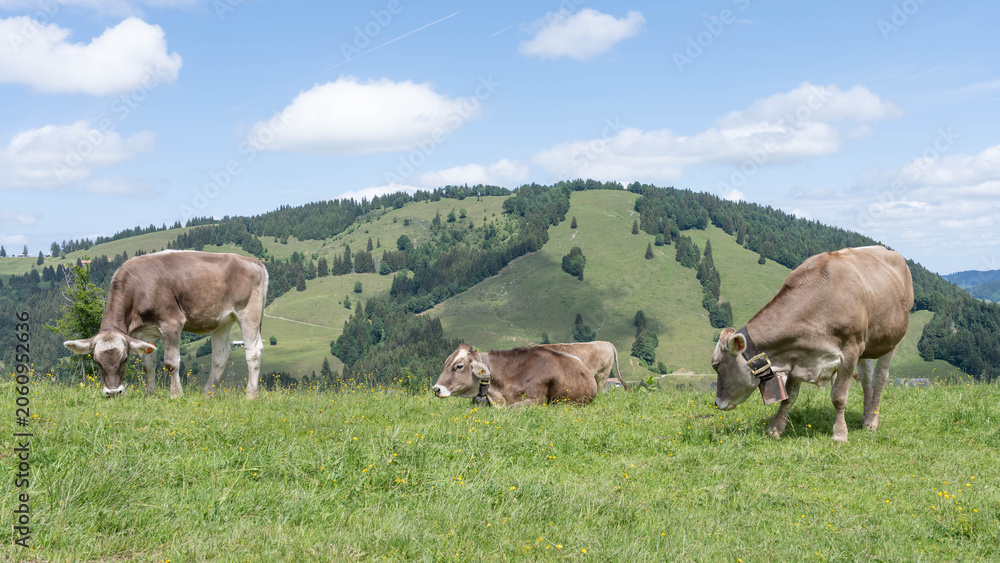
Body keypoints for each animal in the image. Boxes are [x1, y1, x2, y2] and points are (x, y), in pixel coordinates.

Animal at [63, 251, 269, 399]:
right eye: (97, 361)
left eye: (124, 359)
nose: (113, 392)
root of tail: (252, 261)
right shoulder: (144, 333)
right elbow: (148, 364)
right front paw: (149, 393)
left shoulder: (172, 323)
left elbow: (171, 362)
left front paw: (176, 394)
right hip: (222, 320)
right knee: (220, 355)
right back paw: (207, 394)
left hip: (248, 313)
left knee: (253, 351)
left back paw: (251, 395)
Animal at [712, 245, 913, 443]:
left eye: (716, 365)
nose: (717, 403)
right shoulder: (797, 355)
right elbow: (789, 397)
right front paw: (775, 429)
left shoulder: (850, 352)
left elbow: (839, 397)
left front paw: (840, 434)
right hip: (868, 346)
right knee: (866, 378)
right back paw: (865, 417)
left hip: (890, 341)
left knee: (879, 378)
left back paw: (872, 421)